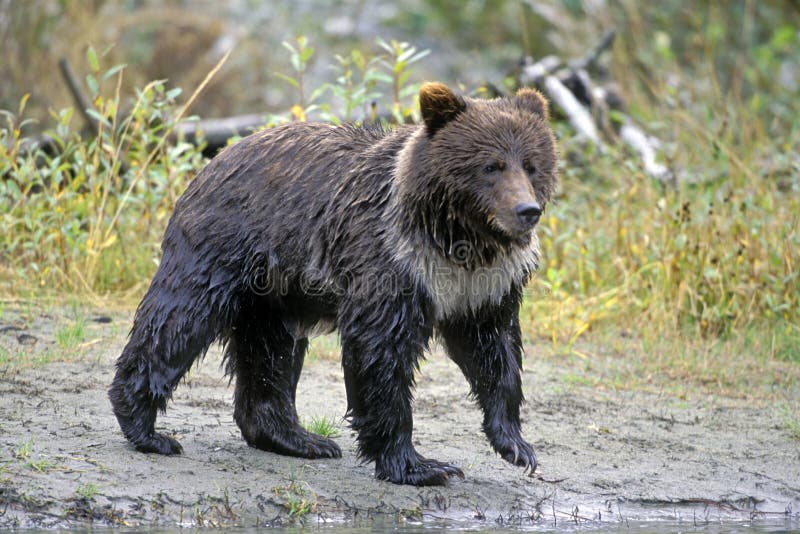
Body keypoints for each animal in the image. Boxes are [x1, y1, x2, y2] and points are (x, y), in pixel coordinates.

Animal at [109, 81, 556, 488]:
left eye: (532, 164)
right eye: (491, 165)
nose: (526, 210)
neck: (458, 240)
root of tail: (216, 158)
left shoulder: (483, 287)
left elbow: (493, 350)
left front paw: (517, 446)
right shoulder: (387, 258)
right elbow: (381, 350)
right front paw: (421, 465)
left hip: (274, 289)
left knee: (271, 350)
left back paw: (299, 438)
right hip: (225, 246)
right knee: (181, 318)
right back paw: (146, 429)